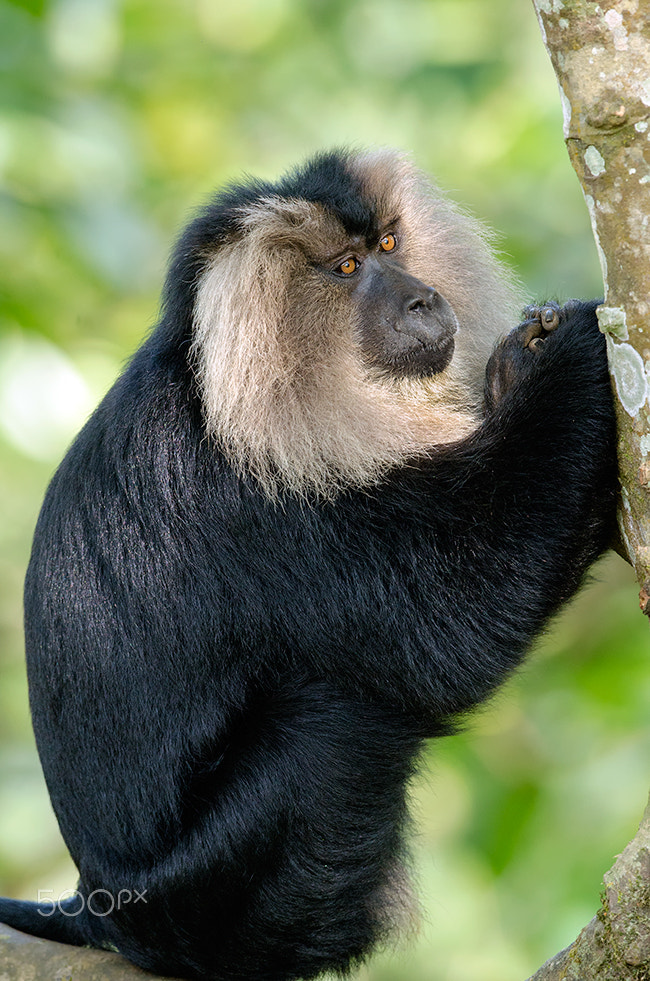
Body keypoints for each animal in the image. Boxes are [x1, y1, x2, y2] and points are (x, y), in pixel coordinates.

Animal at [0, 147, 612, 980]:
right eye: (347, 268)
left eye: (390, 245)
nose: (421, 298)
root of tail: (97, 907)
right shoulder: (251, 500)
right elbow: (455, 627)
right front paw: (572, 354)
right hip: (203, 898)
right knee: (332, 718)